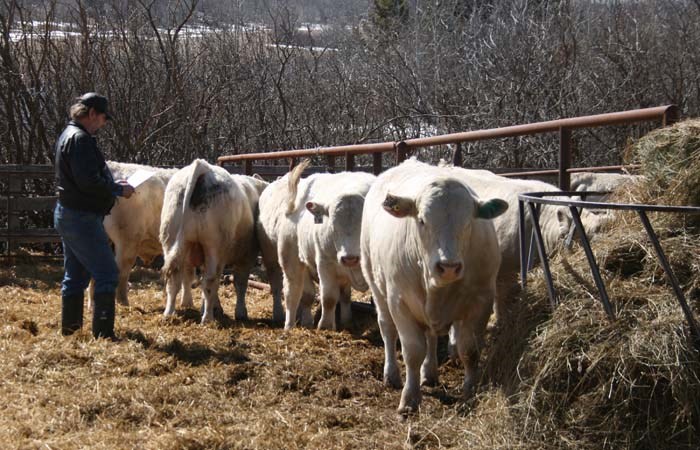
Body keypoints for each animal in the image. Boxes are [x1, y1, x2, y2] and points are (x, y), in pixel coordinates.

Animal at [159, 158, 268, 324]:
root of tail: (202, 166)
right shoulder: (247, 255)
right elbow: (240, 282)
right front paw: (240, 312)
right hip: (214, 247)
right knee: (210, 280)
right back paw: (207, 318)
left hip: (172, 241)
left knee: (175, 278)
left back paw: (169, 313)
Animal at [360, 158, 508, 414]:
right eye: (422, 220)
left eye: (469, 222)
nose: (448, 267)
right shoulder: (400, 302)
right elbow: (412, 351)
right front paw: (409, 398)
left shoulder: (482, 301)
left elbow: (469, 350)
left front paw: (469, 393)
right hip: (377, 285)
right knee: (387, 329)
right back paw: (391, 374)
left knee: (430, 336)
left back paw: (429, 373)